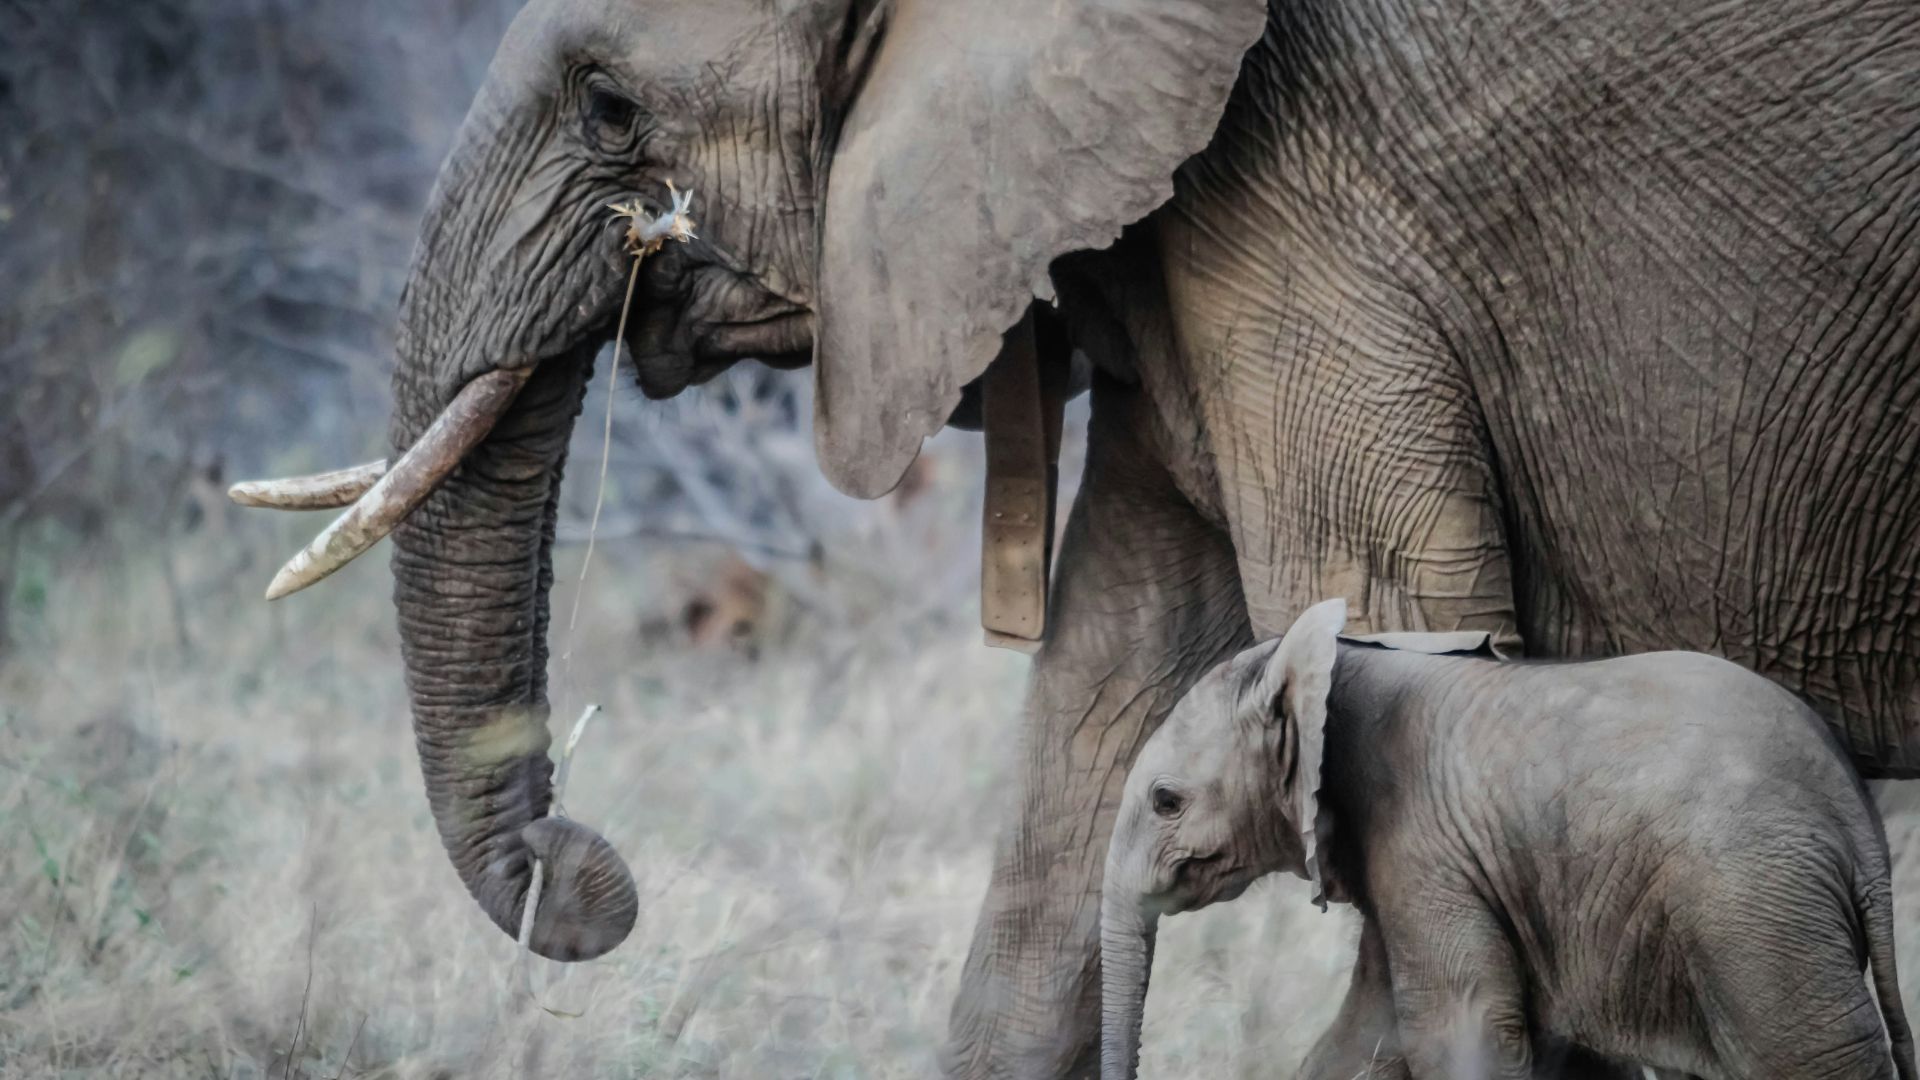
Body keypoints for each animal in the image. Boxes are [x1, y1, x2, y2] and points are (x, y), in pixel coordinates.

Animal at [1101, 599, 1918, 1080]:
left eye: (1166, 801)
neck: (1328, 662)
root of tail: (1857, 824)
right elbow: (1367, 1036)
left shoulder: (1425, 844)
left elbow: (1461, 1031)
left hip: (1754, 914)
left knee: (1811, 1057)